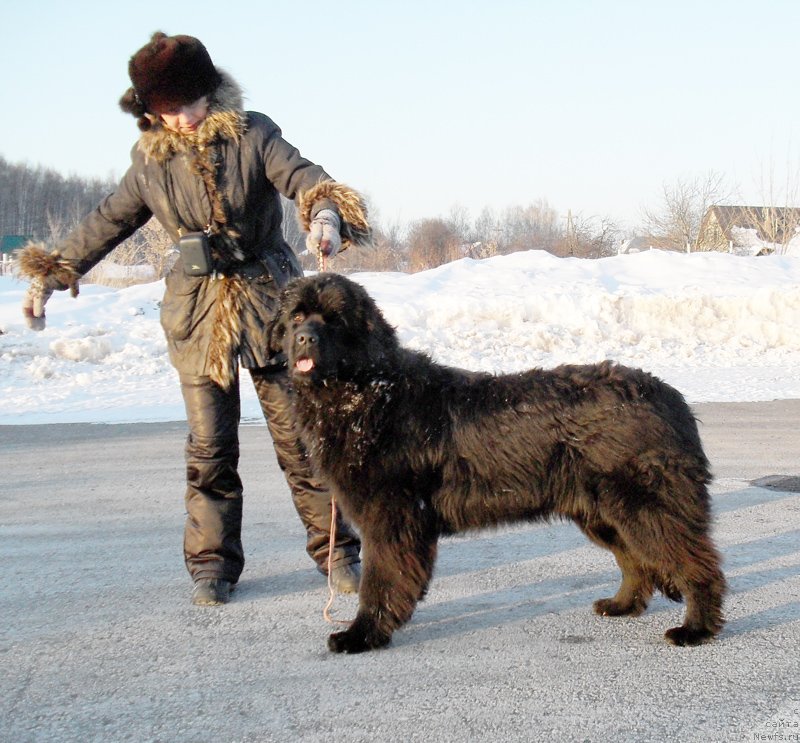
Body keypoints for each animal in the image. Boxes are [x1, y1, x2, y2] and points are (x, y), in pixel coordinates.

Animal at [268, 272, 724, 652]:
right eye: (297, 316)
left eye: (334, 319)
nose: (305, 339)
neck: (365, 392)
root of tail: (671, 397)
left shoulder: (391, 518)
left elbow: (379, 584)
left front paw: (362, 635)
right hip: (604, 513)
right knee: (635, 562)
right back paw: (622, 605)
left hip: (645, 506)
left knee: (696, 563)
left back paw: (696, 628)